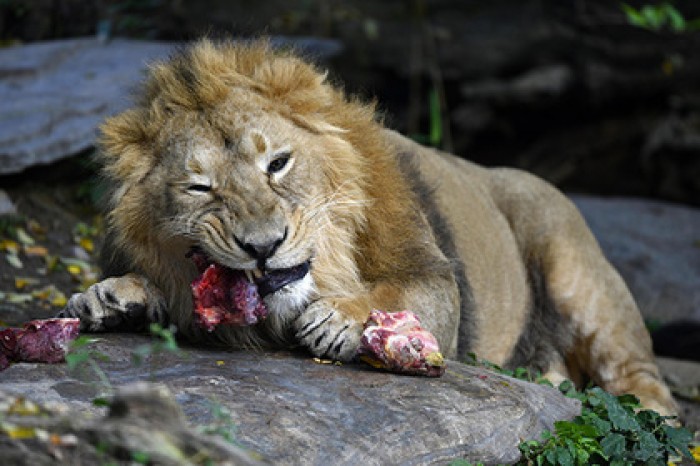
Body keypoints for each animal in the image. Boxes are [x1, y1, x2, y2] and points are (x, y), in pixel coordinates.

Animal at [60, 39, 680, 416]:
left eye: (278, 163)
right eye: (200, 188)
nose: (264, 246)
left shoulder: (436, 280)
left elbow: (400, 293)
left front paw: (342, 317)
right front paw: (115, 298)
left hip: (575, 269)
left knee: (643, 380)